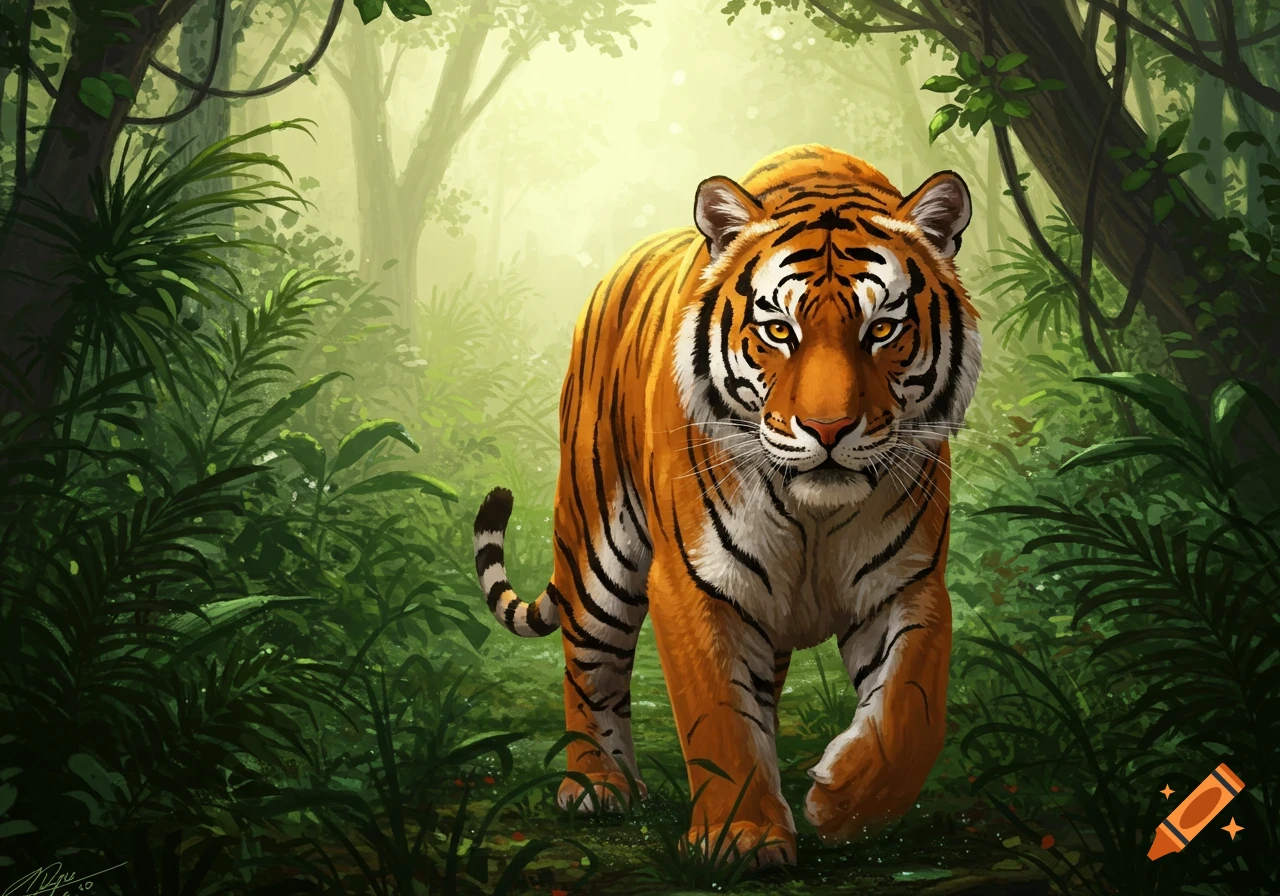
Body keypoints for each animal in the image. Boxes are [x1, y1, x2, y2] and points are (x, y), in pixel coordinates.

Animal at [472, 144, 981, 869]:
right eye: (778, 330)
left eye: (882, 328)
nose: (828, 429)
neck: (813, 515)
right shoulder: (696, 582)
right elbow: (717, 715)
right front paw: (741, 837)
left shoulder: (907, 583)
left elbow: (913, 712)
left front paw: (843, 803)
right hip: (598, 551)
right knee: (588, 665)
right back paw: (597, 786)